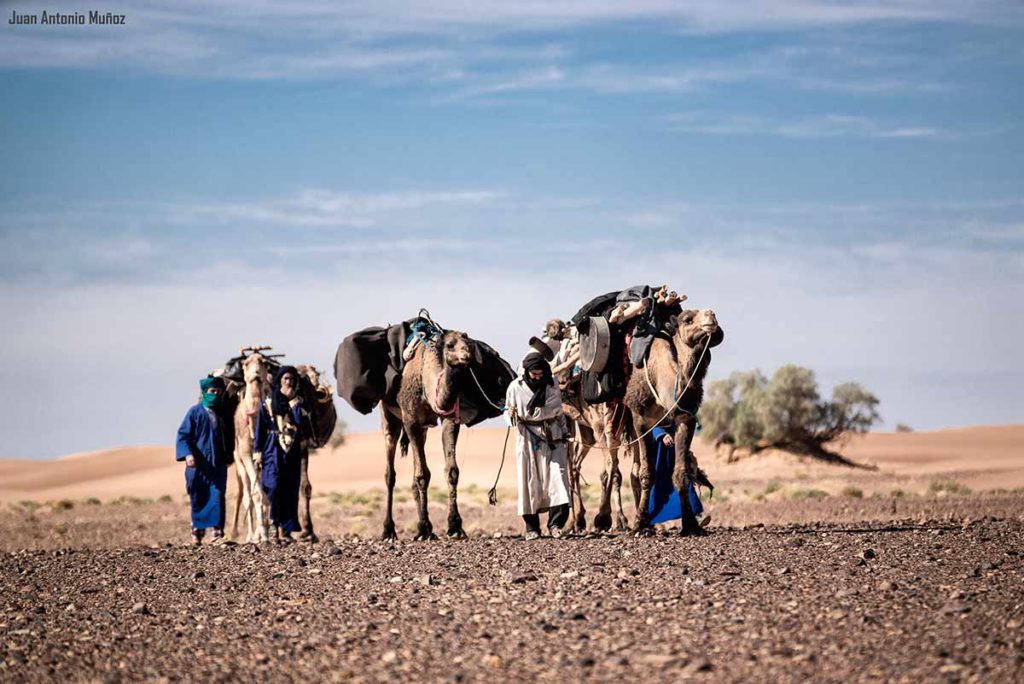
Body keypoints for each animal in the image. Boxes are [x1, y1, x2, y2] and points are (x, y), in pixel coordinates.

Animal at [610, 307, 724, 536]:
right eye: (687, 319)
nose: (711, 315)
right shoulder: (641, 420)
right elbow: (647, 474)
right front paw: (639, 524)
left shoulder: (685, 419)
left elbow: (681, 472)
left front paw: (690, 524)